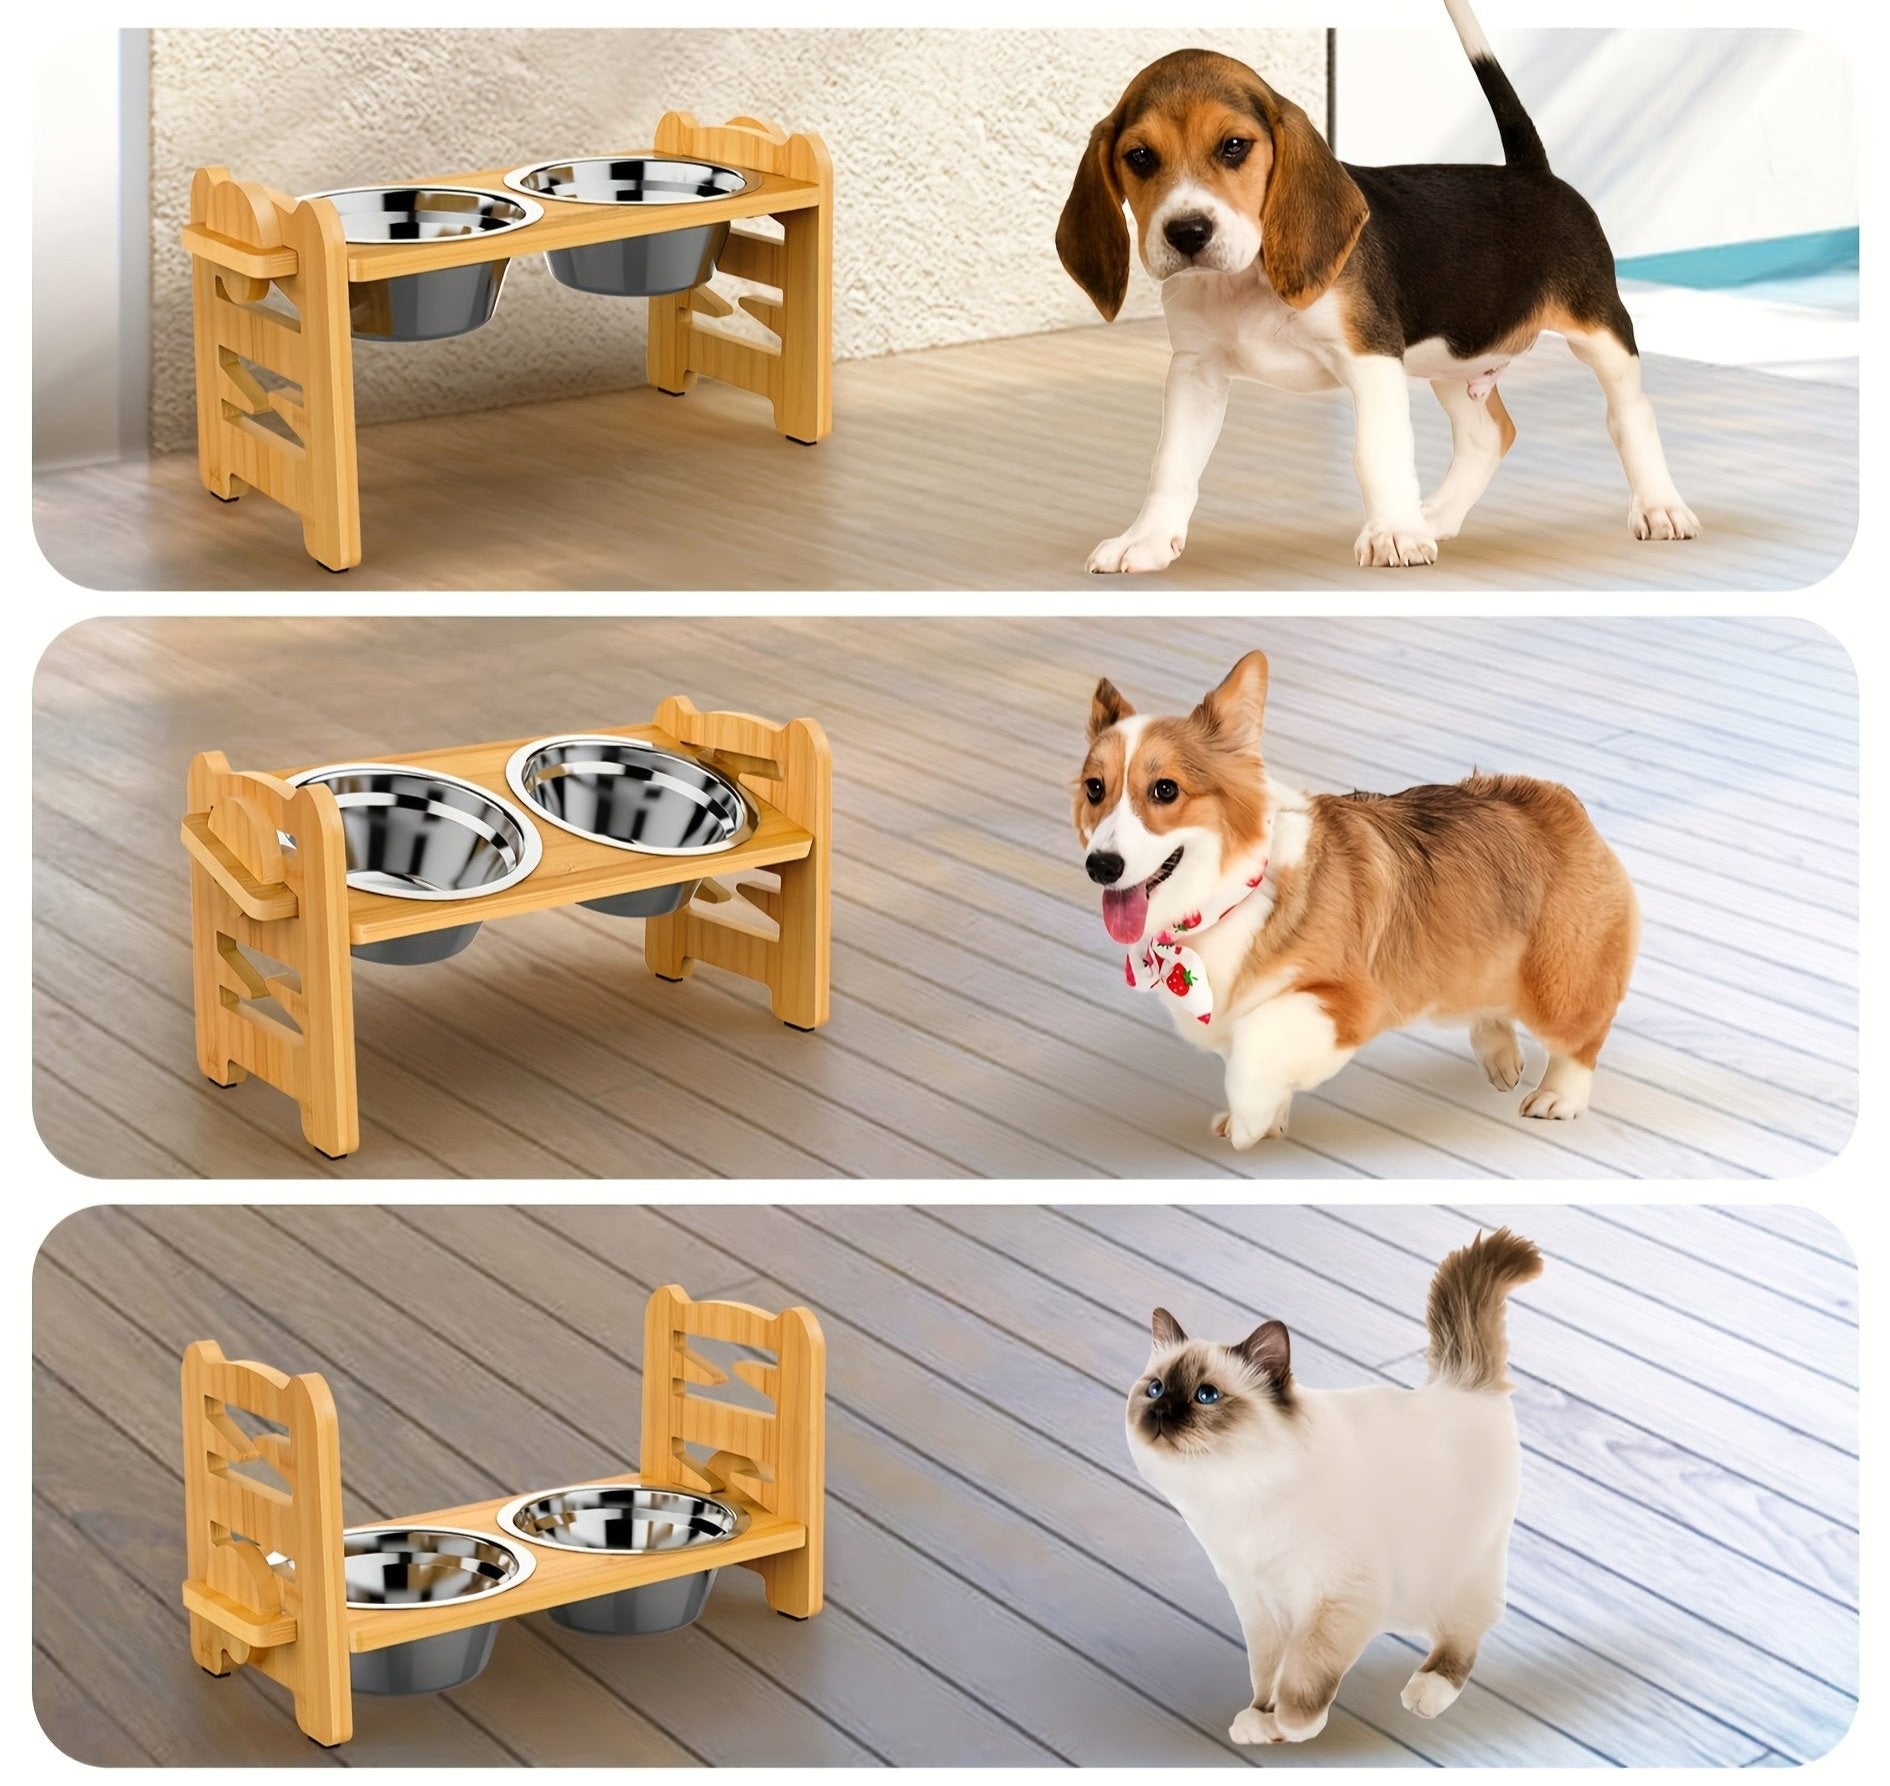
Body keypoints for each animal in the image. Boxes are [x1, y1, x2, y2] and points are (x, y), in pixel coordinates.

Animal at [1065, 0, 1701, 566]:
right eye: (1139, 156)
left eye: (1234, 146)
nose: (1187, 232)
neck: (1247, 280)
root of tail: (1533, 173)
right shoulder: (1195, 372)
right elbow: (1170, 463)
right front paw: (1146, 541)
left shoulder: (1371, 359)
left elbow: (1376, 452)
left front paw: (1393, 535)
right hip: (1453, 355)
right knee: (1489, 434)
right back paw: (1435, 515)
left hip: (1600, 330)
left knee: (1631, 414)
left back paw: (1659, 507)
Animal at [1081, 653, 1640, 1141]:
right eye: (1094, 788)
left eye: (1165, 790)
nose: (1100, 866)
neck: (1226, 902)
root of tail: (1557, 798)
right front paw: (1268, 1119)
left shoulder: (1342, 1000)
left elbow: (1254, 1053)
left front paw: (1250, 1123)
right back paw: (1501, 1058)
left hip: (1561, 981)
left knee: (1580, 1037)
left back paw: (1556, 1096)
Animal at [1126, 1224, 1542, 1738]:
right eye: (1156, 1389)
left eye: (1206, 1396)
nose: (1162, 1412)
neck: (1238, 1493)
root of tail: (1458, 1384)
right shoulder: (1259, 1607)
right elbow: (1266, 1672)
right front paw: (1259, 1720)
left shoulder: (1337, 1600)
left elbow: (1304, 1674)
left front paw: (1292, 1725)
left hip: (1456, 1567)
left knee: (1466, 1628)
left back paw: (1427, 1692)